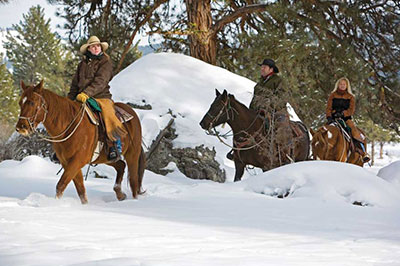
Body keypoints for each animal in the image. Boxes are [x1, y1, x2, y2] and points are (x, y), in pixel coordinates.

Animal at [16, 80, 147, 204]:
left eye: (32, 102)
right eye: (20, 103)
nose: (21, 127)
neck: (69, 125)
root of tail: (132, 113)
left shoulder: (77, 160)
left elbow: (61, 184)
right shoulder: (67, 162)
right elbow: (80, 189)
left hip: (132, 154)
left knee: (133, 181)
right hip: (105, 158)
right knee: (121, 165)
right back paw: (120, 194)